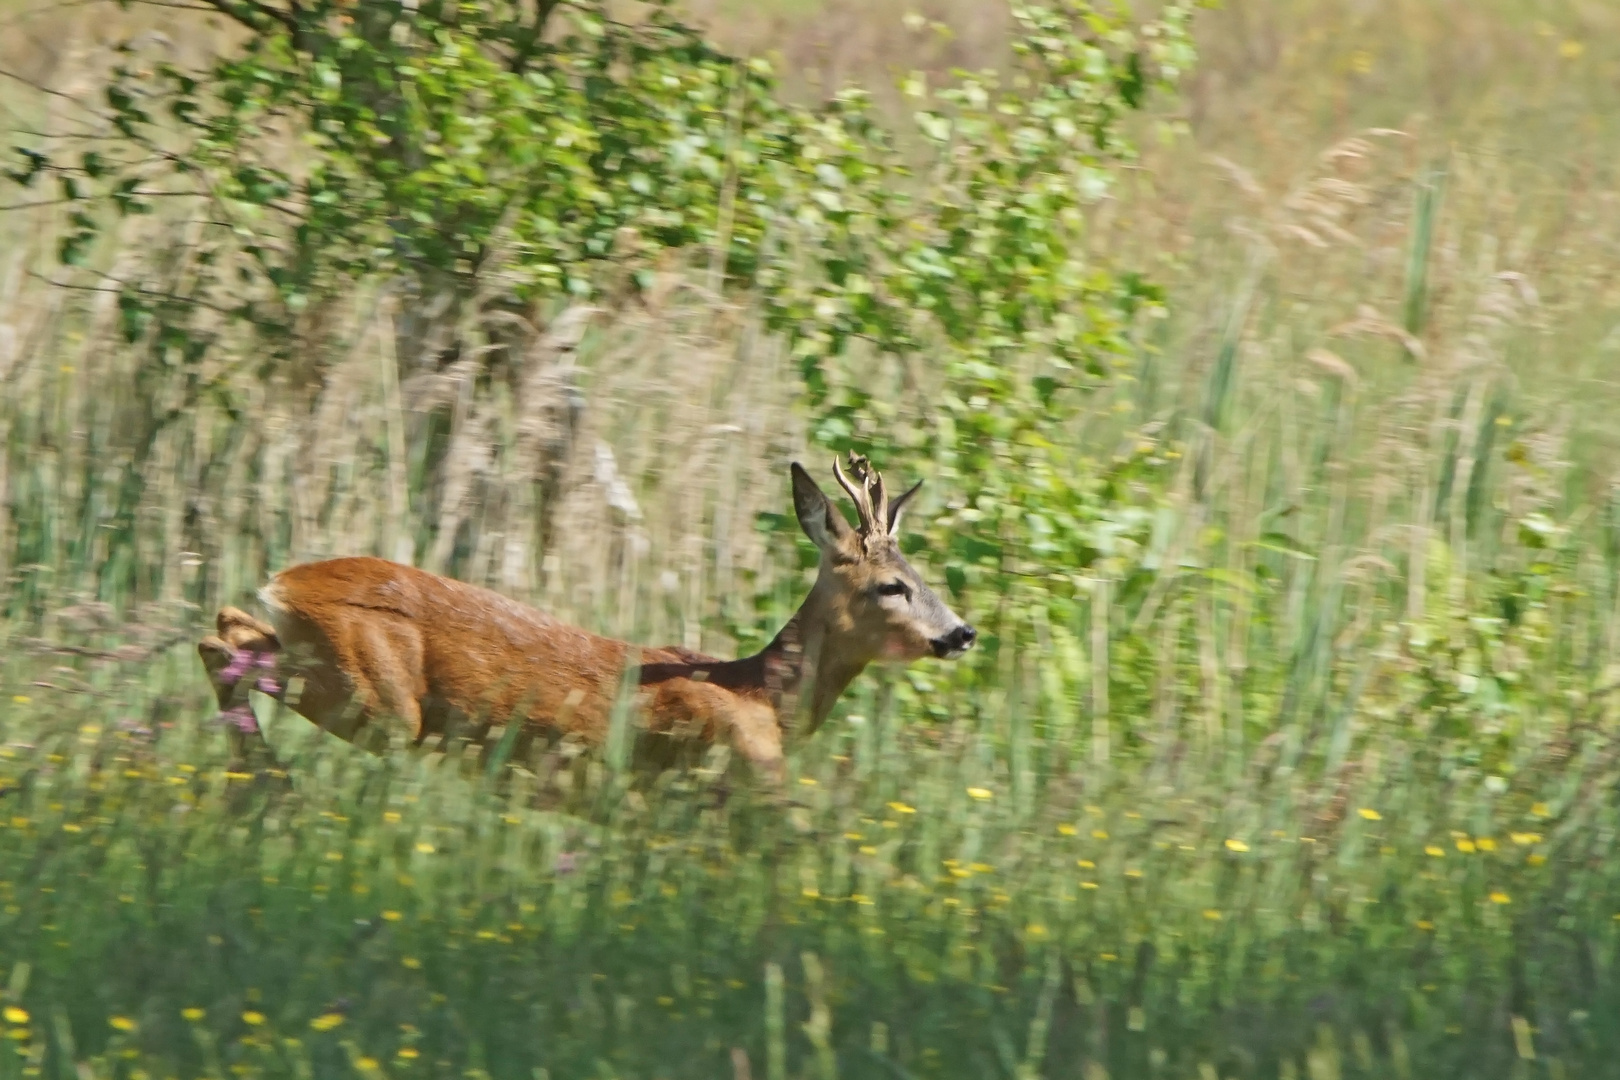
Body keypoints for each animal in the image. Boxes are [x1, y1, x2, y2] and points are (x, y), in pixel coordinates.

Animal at [194, 456, 965, 786]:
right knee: (229, 645)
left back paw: (254, 785)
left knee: (224, 629)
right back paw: (265, 784)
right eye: (893, 586)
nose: (962, 632)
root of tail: (283, 580)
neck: (760, 695)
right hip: (378, 700)